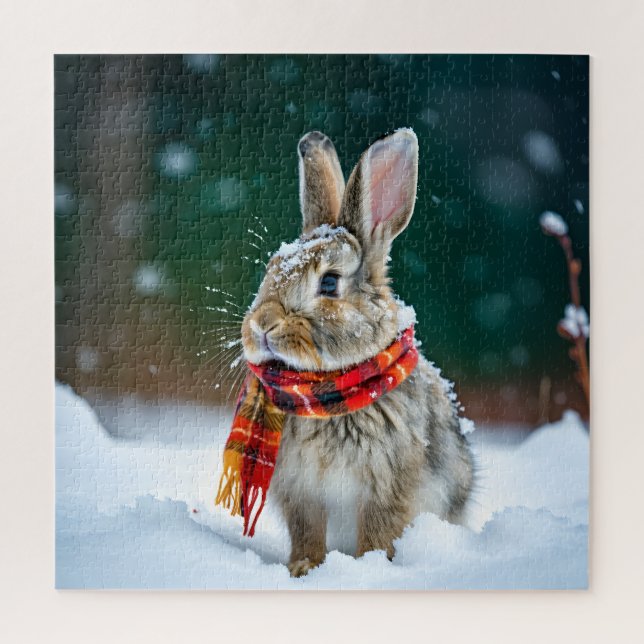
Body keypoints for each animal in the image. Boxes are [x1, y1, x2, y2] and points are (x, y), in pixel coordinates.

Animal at [240, 128, 474, 577]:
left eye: (330, 283)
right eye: (271, 268)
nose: (261, 326)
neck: (328, 390)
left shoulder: (387, 487)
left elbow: (379, 532)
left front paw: (370, 568)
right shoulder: (302, 491)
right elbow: (307, 532)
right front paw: (303, 569)